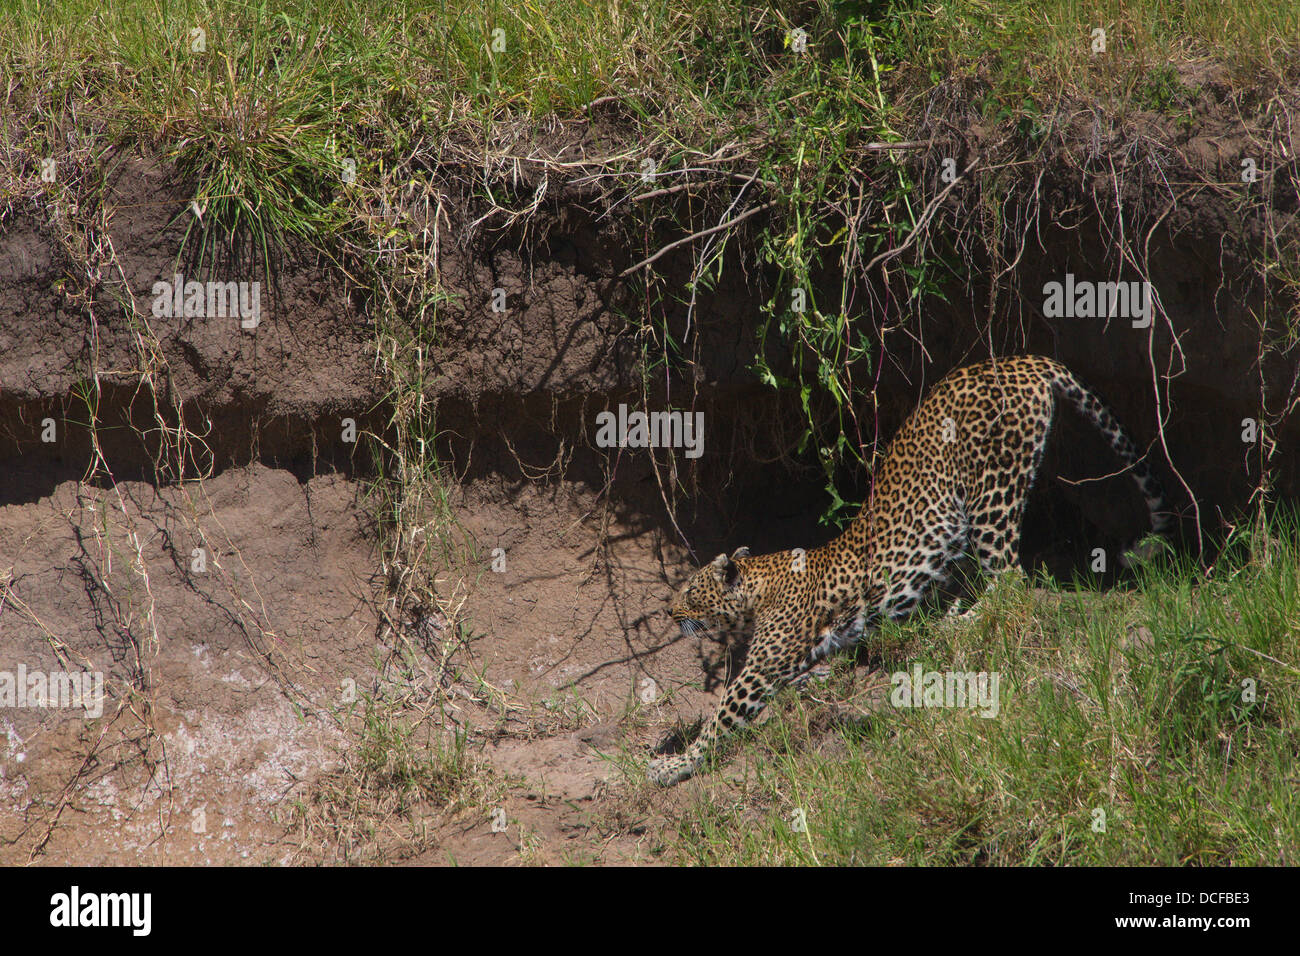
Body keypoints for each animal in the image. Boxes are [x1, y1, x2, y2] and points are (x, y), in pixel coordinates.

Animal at [650, 356, 1170, 790]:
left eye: (691, 590)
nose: (669, 613)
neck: (761, 584)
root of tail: (1022, 360)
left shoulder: (759, 671)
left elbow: (720, 719)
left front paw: (670, 766)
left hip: (992, 494)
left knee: (1012, 584)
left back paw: (958, 621)